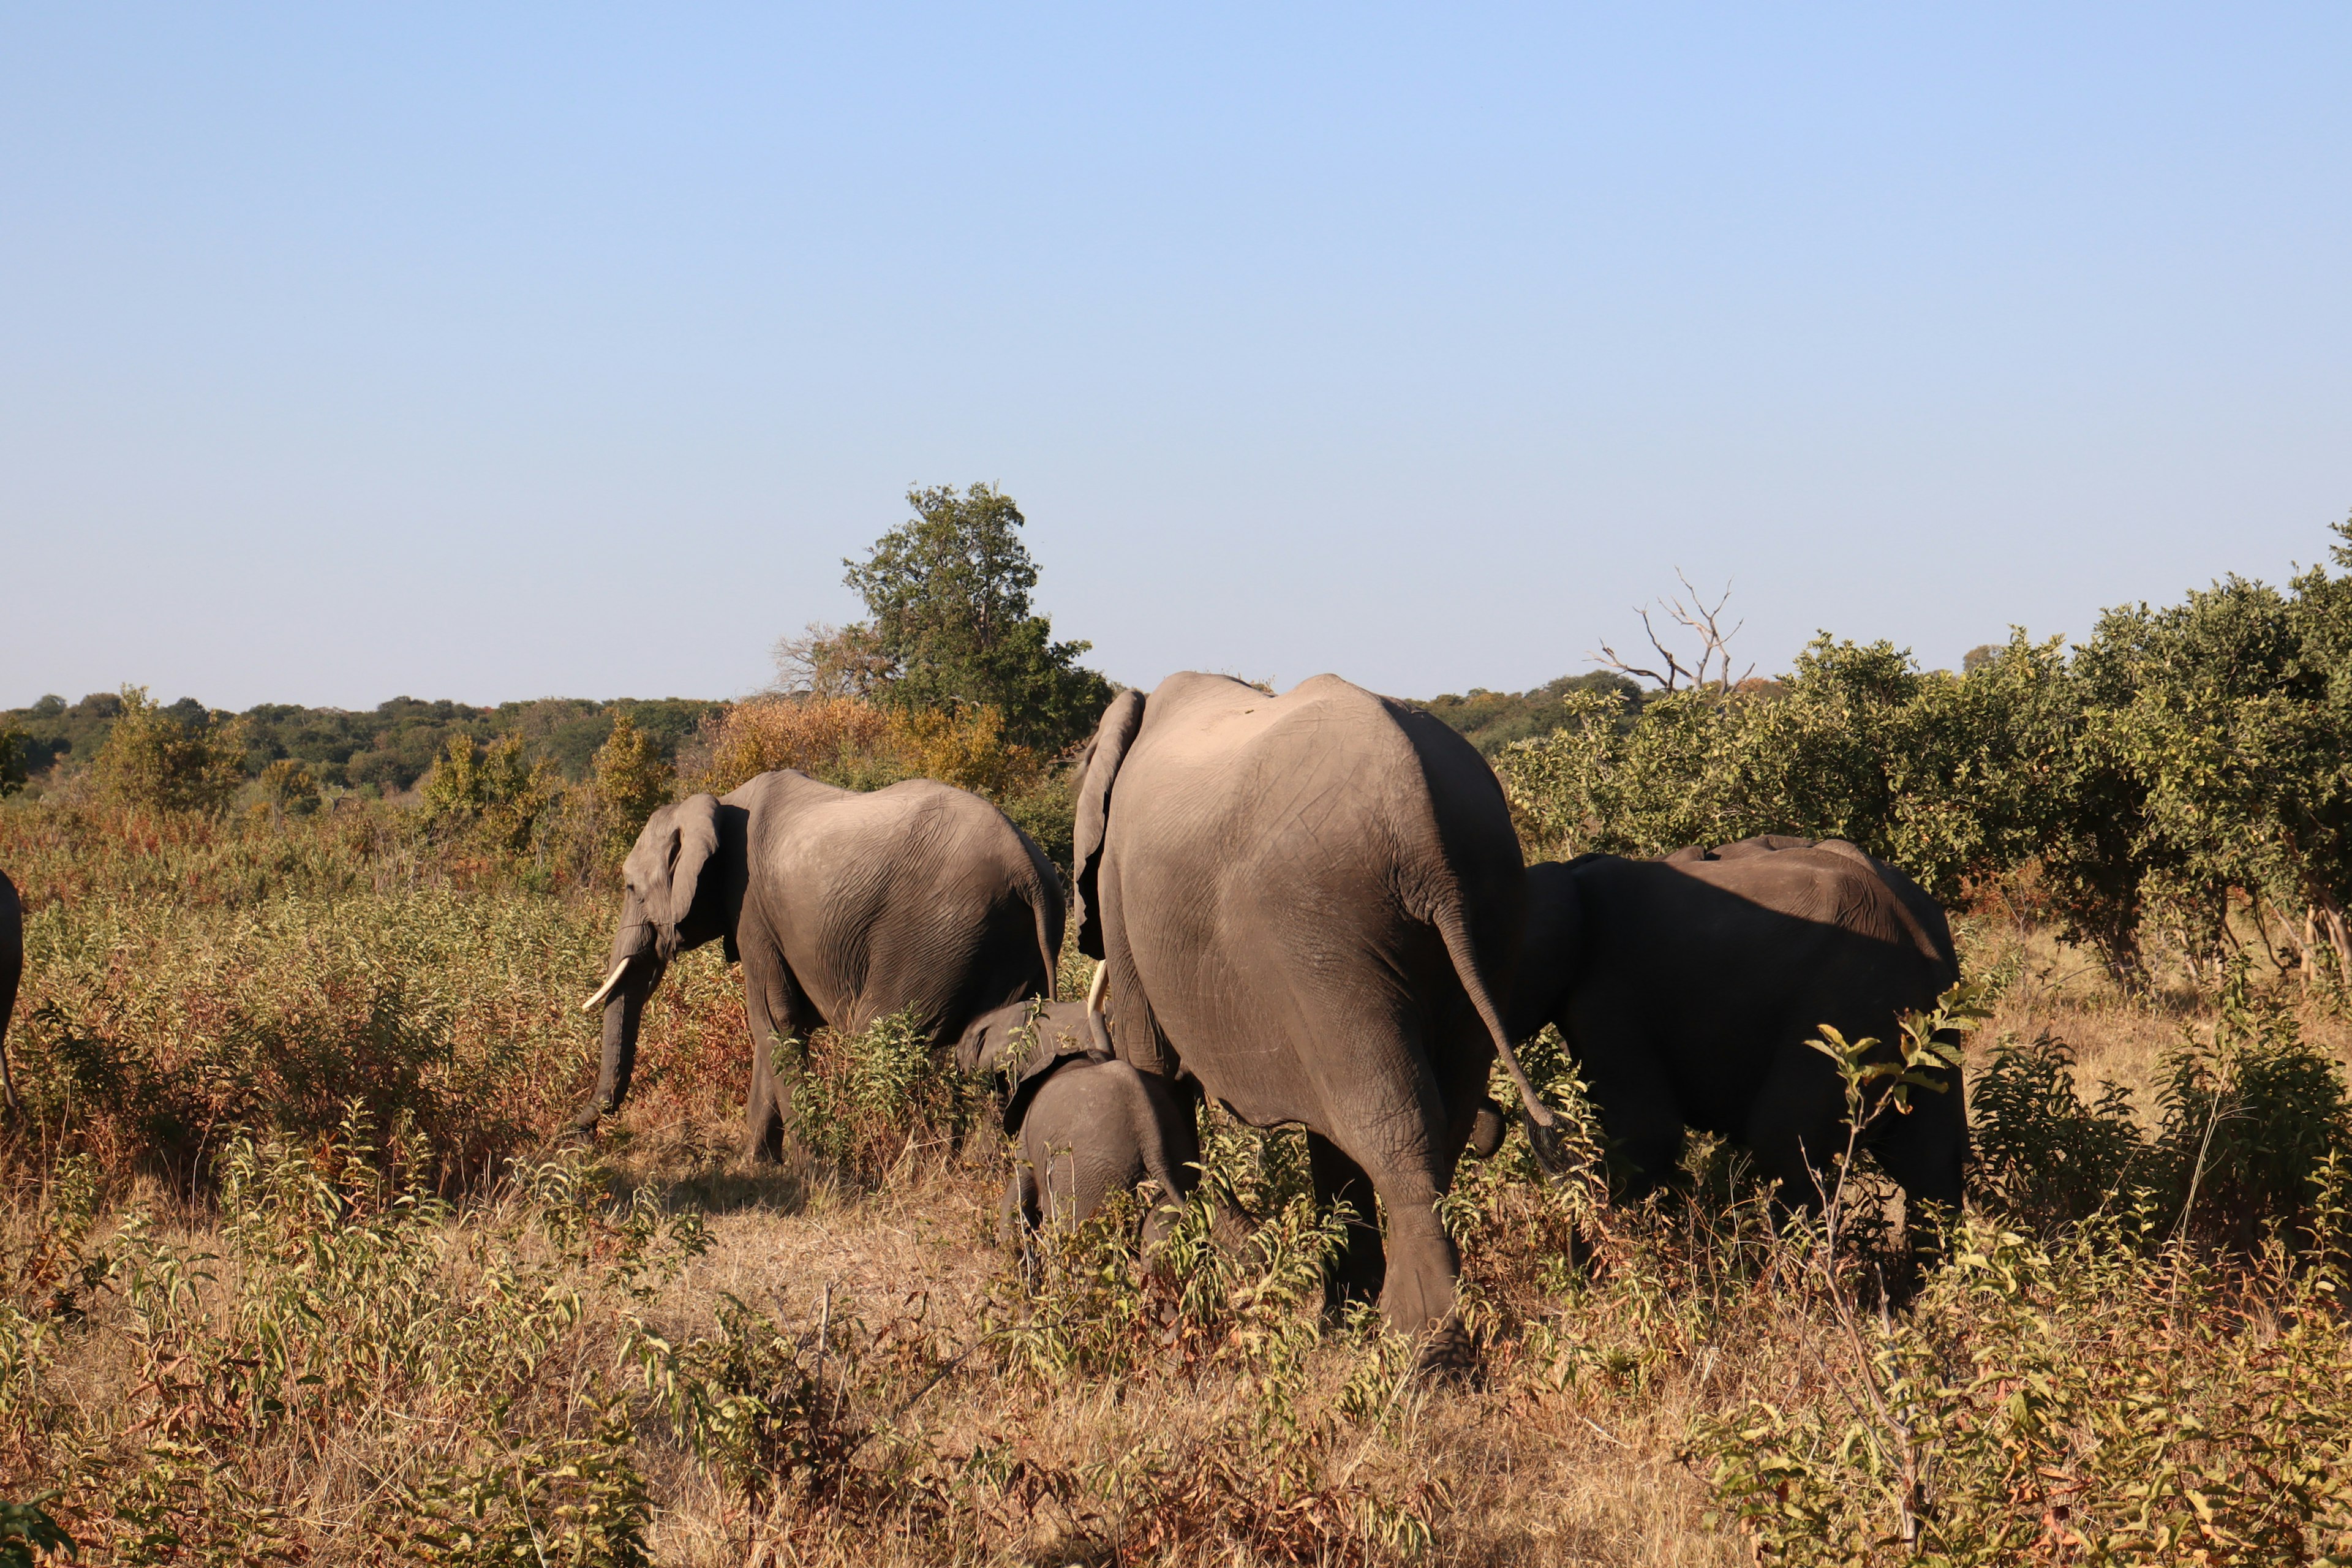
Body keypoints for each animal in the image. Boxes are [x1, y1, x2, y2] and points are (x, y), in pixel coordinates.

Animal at [576, 766, 1068, 1161]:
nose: (580, 1135)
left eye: (631, 888)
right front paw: (757, 1165)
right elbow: (777, 1028)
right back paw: (975, 1168)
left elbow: (772, 1020)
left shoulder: (752, 909)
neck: (716, 803)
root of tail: (1028, 869)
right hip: (1006, 941)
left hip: (939, 933)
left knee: (886, 1037)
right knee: (992, 1052)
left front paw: (805, 1169)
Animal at [1072, 668, 1552, 1354]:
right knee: (1440, 1106)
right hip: (1487, 906)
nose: (1255, 1247)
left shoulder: (1119, 894)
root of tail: (1421, 824)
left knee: (1389, 1118)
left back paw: (1422, 1344)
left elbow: (1153, 1071)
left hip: (1318, 922)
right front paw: (1331, 1313)